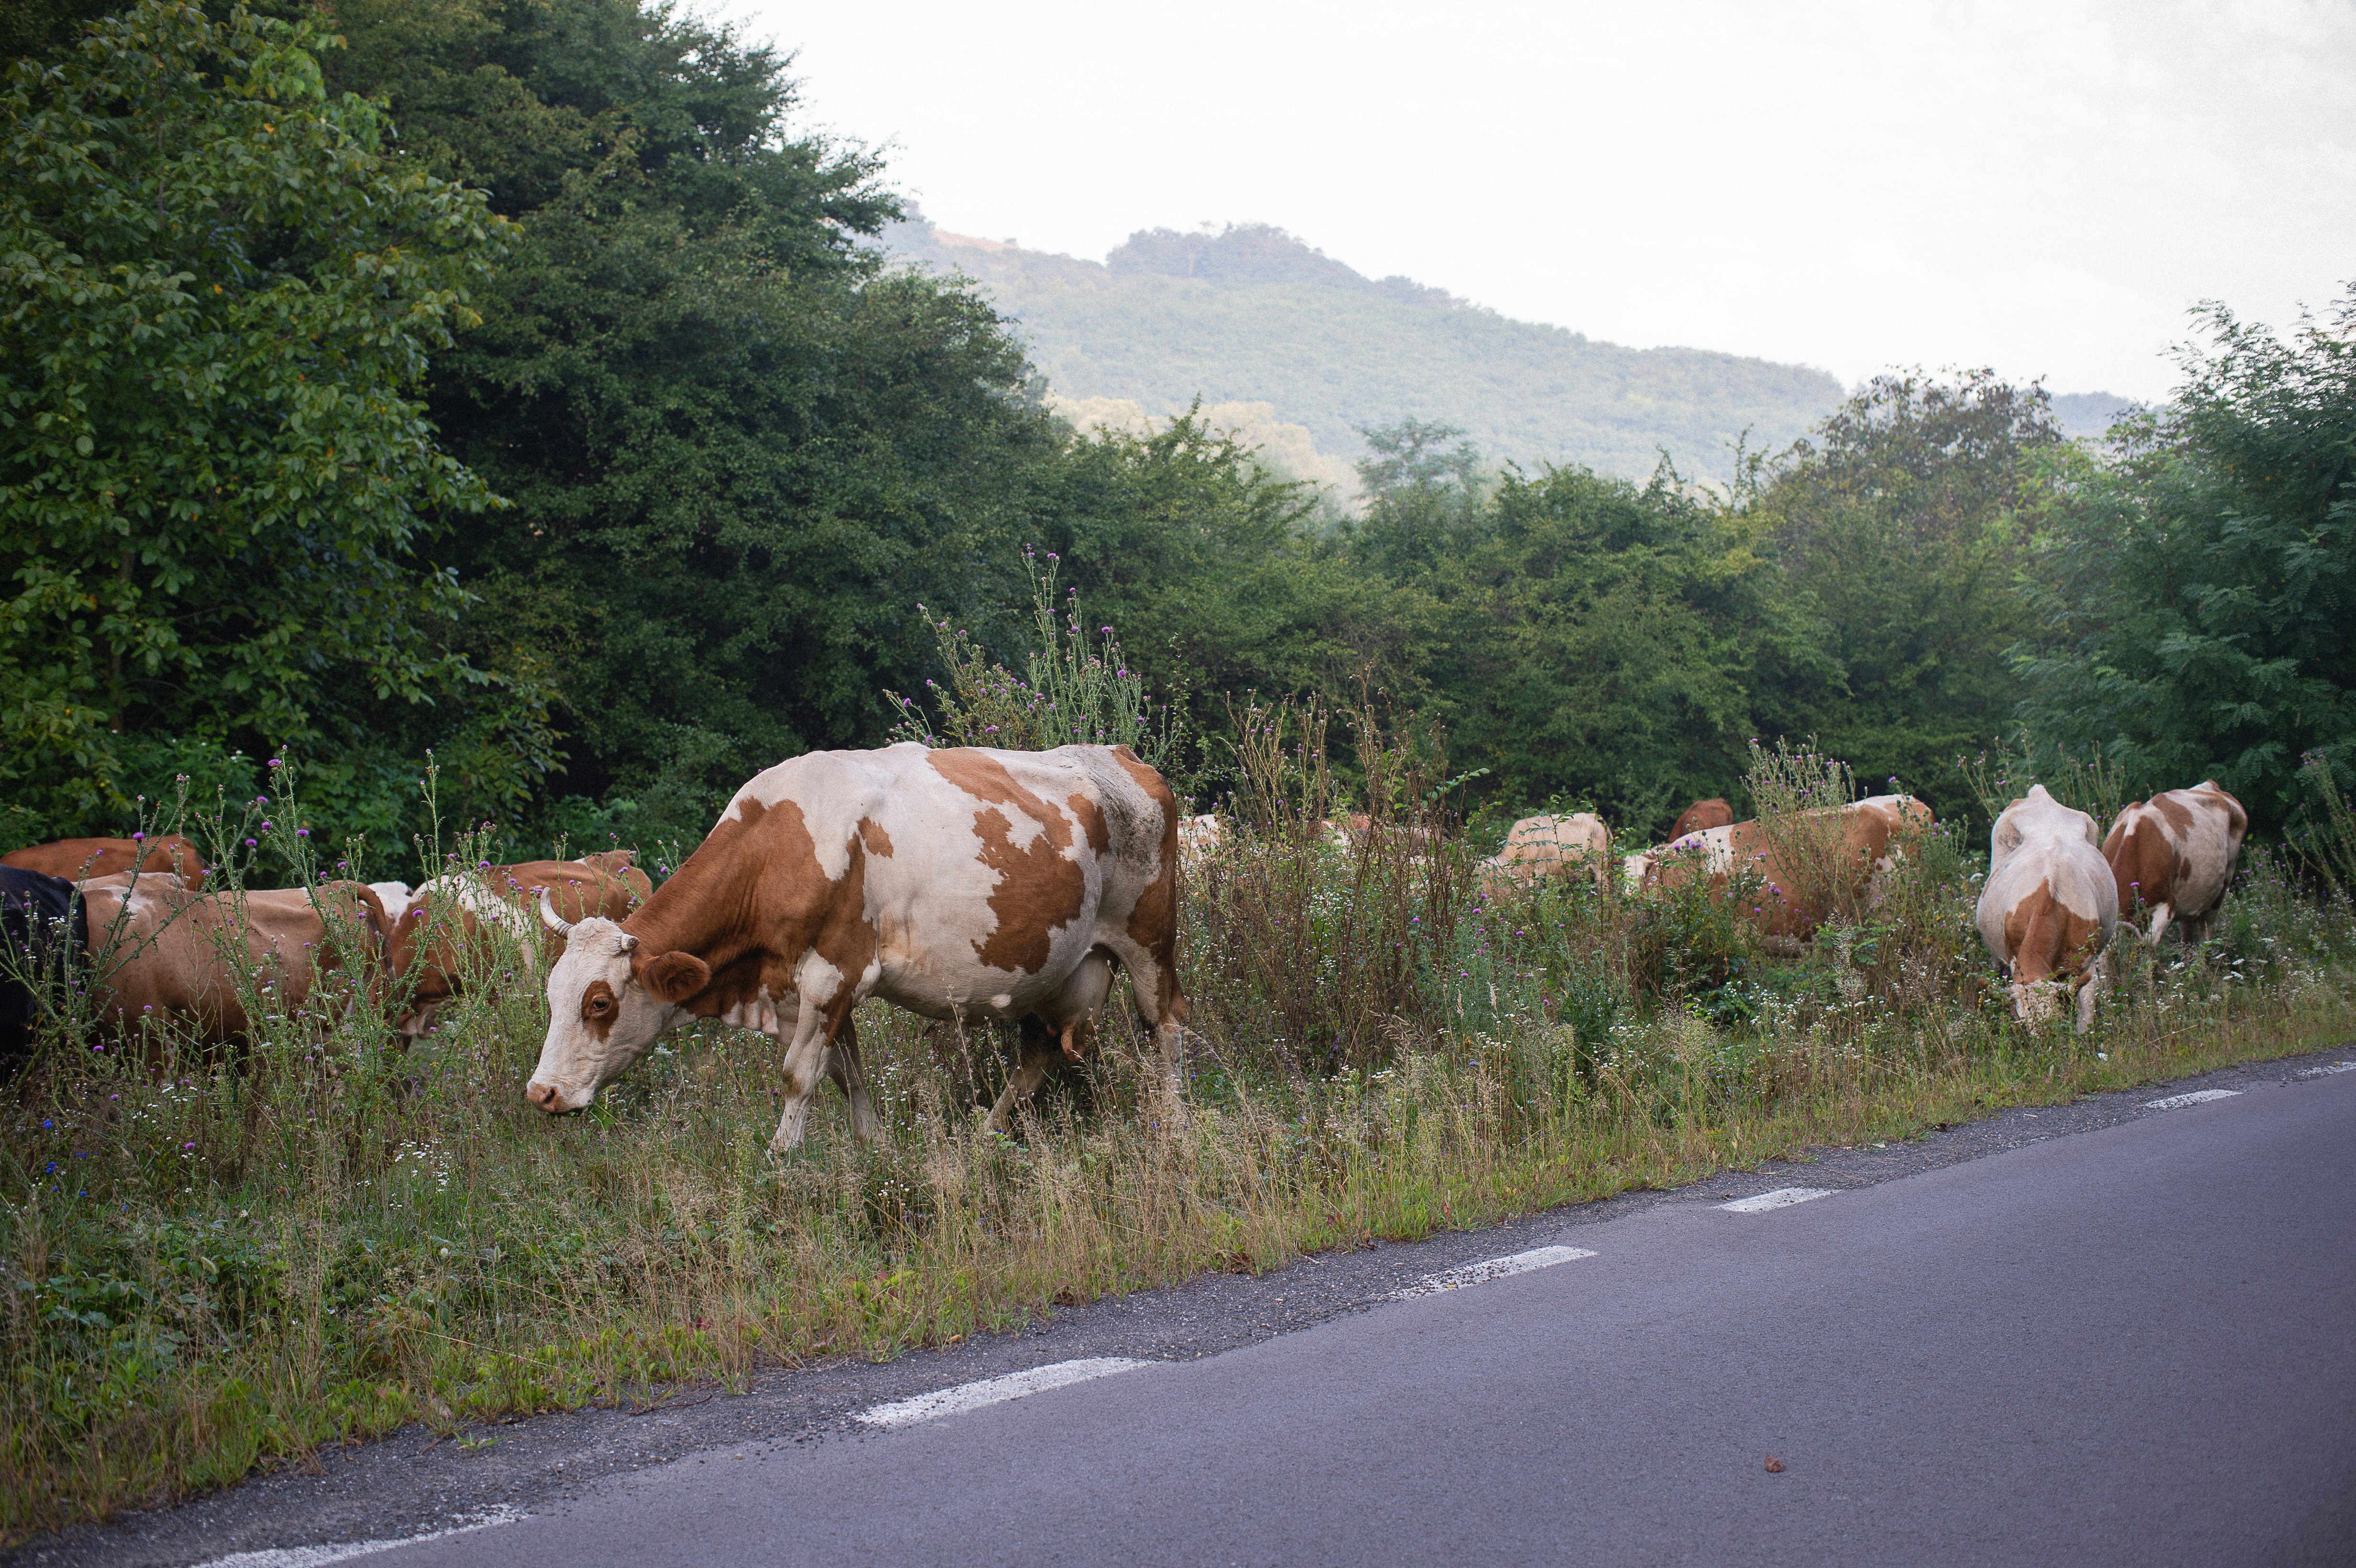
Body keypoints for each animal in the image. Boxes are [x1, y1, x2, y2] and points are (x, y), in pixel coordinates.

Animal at [524, 743, 1189, 1154]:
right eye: (553, 997)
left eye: (600, 1003)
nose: (542, 1093)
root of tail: (1119, 754)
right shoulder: (809, 990)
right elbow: (846, 1075)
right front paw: (876, 1150)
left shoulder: (832, 972)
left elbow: (799, 1076)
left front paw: (779, 1161)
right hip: (1057, 969)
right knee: (1040, 1052)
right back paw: (984, 1140)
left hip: (1149, 940)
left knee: (1165, 1026)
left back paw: (1173, 1128)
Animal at [1977, 785, 2118, 1032]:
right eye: (2024, 1028)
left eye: (2054, 1026)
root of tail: (2040, 795)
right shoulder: (2014, 960)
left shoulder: (2085, 965)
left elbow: (2085, 1014)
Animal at [2102, 781, 2249, 947]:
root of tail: (2211, 784)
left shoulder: (2166, 907)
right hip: (2189, 901)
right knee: (2188, 937)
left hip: (2222, 887)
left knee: (2207, 933)